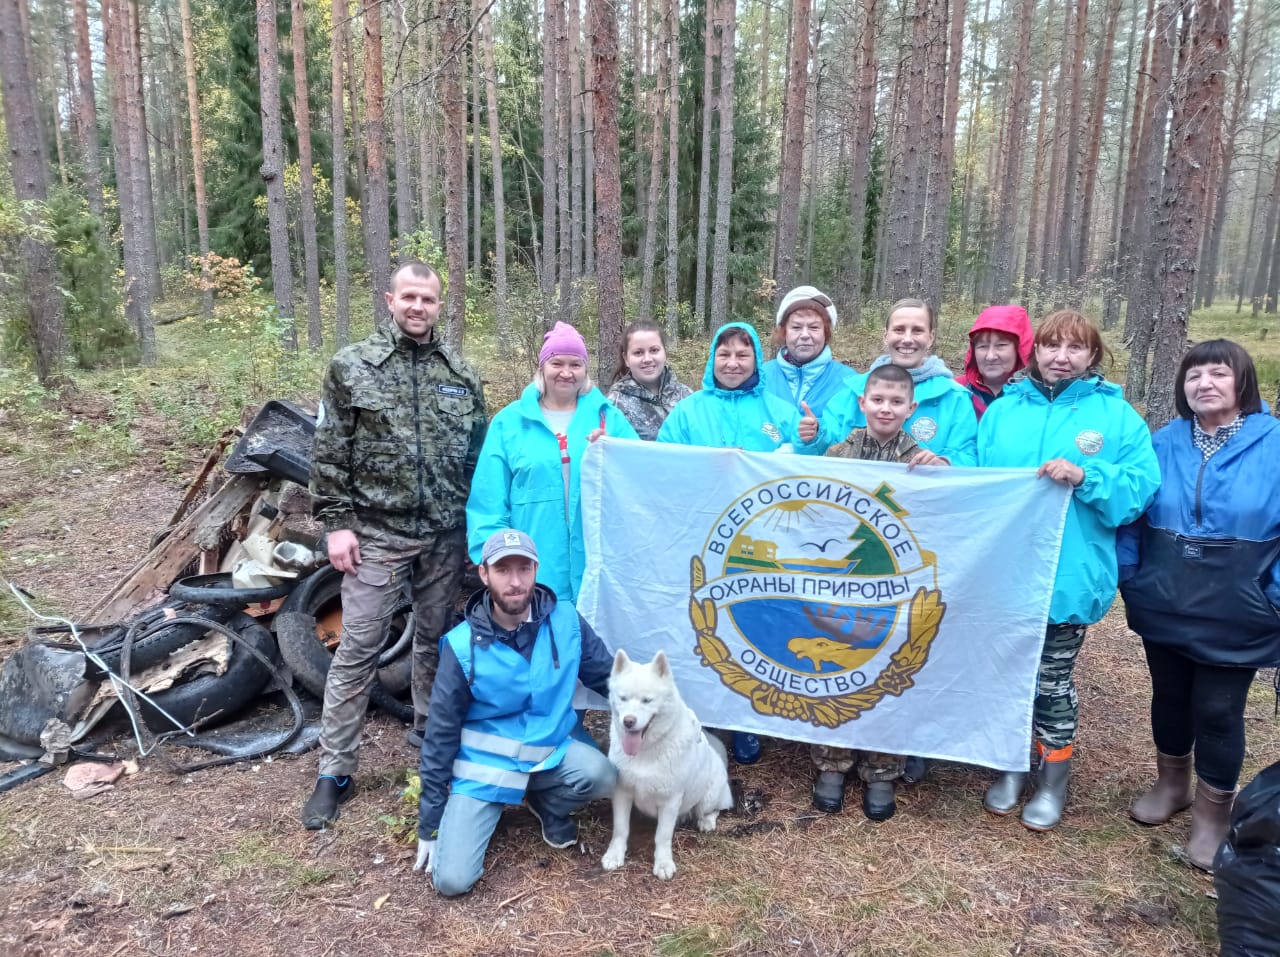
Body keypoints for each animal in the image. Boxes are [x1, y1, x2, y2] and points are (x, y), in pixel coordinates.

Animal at [599, 647, 732, 880]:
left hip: (708, 798)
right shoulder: (622, 793)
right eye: (623, 698)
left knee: (714, 809)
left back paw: (706, 821)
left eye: (647, 700)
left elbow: (662, 836)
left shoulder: (670, 801)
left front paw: (663, 864)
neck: (645, 751)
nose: (628, 721)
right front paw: (615, 855)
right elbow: (621, 829)